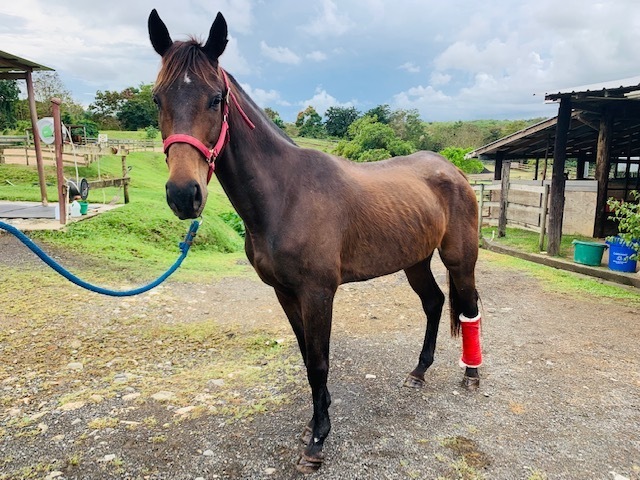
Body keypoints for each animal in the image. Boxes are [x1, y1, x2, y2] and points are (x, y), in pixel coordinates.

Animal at [148, 9, 483, 473]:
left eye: (216, 99)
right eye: (157, 99)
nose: (184, 195)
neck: (286, 194)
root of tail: (453, 172)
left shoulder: (318, 293)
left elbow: (321, 363)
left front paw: (318, 442)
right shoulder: (286, 293)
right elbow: (308, 358)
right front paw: (314, 424)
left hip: (459, 258)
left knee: (467, 306)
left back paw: (472, 374)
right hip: (414, 260)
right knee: (434, 303)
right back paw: (418, 372)